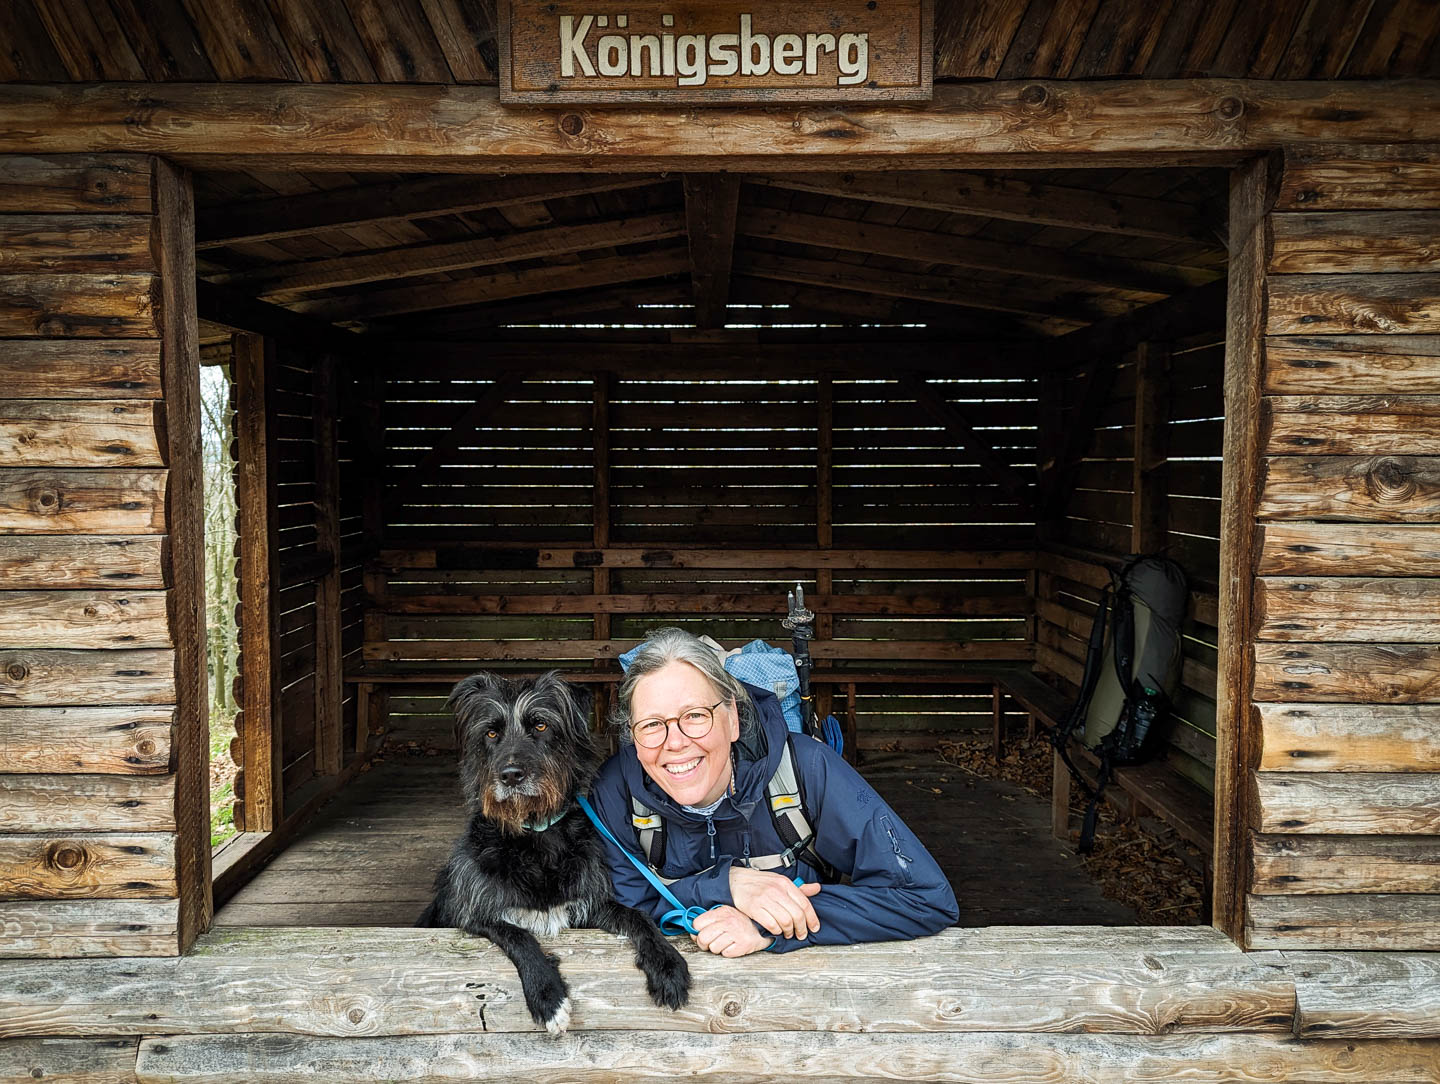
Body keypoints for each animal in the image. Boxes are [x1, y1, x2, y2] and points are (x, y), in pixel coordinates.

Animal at [417, 667, 691, 1030]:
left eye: (541, 726)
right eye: (491, 732)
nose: (510, 775)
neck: (535, 837)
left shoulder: (589, 906)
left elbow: (638, 916)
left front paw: (667, 964)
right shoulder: (471, 913)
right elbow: (518, 936)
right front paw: (548, 995)